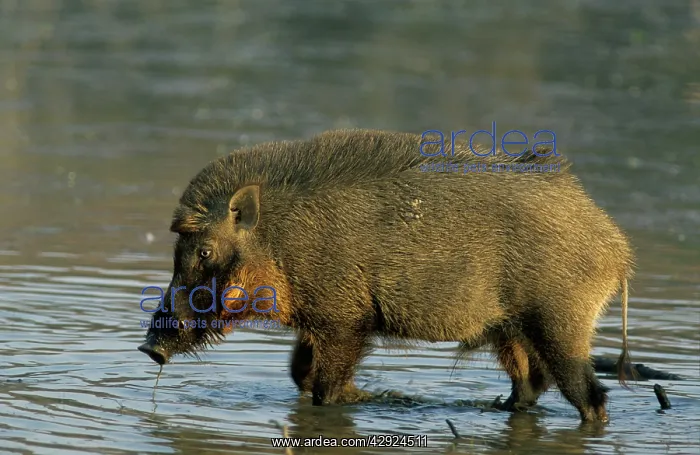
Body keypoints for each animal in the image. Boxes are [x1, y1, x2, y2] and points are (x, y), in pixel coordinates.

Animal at [138, 129, 634, 423]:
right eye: (178, 251)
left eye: (205, 250)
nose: (149, 347)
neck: (279, 241)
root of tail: (617, 250)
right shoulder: (320, 320)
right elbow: (299, 374)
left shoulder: (345, 319)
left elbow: (324, 388)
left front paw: (367, 396)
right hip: (509, 331)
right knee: (531, 385)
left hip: (559, 323)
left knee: (590, 395)